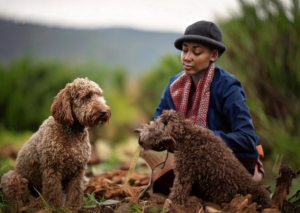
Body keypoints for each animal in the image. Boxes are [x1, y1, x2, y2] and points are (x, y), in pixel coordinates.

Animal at [0, 77, 110, 208]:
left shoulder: (78, 171)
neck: (71, 131)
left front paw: (73, 207)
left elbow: (75, 191)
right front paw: (54, 207)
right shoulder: (51, 169)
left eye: (99, 95)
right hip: (13, 178)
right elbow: (53, 192)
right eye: (87, 96)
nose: (104, 111)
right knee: (18, 199)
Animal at [135, 110, 274, 209]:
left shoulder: (184, 173)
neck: (186, 136)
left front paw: (172, 203)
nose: (139, 140)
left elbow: (178, 191)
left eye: (152, 129)